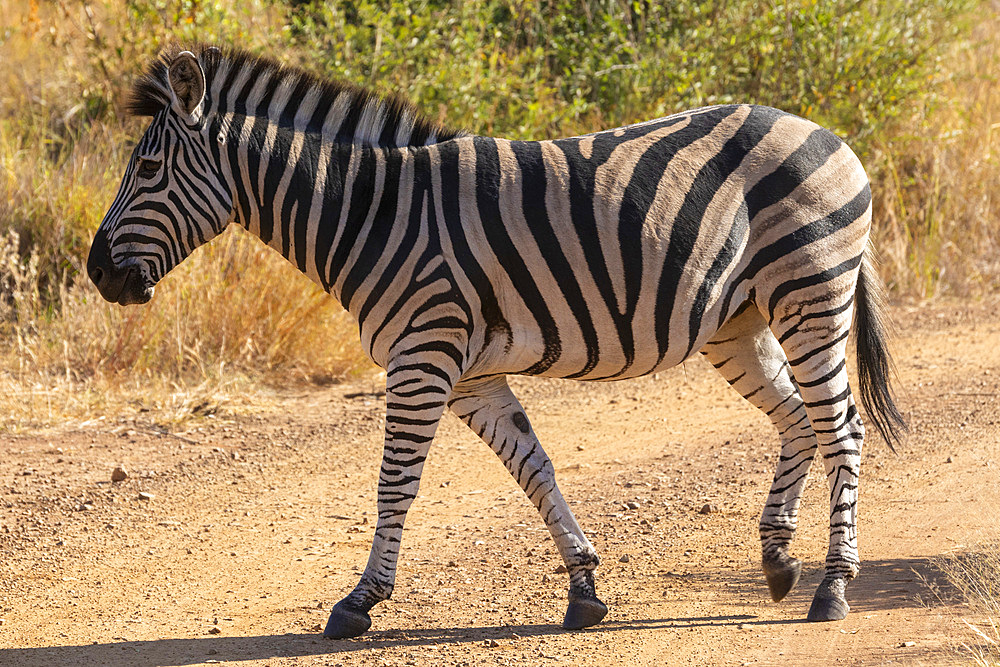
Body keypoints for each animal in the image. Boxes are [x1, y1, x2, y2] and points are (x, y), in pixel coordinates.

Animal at [88, 44, 908, 640]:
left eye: (148, 167)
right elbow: (534, 468)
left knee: (842, 428)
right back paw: (777, 560)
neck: (370, 212)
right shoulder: (471, 375)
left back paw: (833, 587)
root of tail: (828, 135)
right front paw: (585, 589)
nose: (98, 273)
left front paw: (359, 601)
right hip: (740, 320)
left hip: (810, 292)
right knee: (799, 421)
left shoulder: (423, 355)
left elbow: (395, 483)